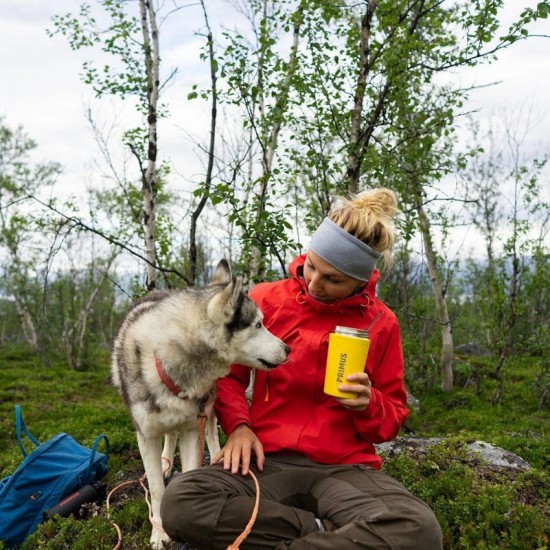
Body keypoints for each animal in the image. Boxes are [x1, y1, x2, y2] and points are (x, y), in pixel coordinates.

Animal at [110, 260, 292, 548]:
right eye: (258, 325)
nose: (288, 349)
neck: (169, 366)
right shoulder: (146, 435)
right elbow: (157, 489)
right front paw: (159, 532)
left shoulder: (191, 428)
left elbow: (190, 467)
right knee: (169, 435)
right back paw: (166, 461)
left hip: (209, 406)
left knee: (210, 431)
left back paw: (217, 454)